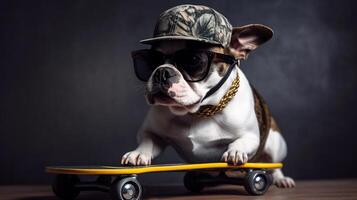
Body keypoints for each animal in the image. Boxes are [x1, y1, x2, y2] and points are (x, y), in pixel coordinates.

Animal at [121, 4, 294, 188]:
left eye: (193, 60)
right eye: (151, 61)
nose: (162, 71)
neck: (198, 111)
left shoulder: (252, 137)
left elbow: (241, 141)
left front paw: (235, 151)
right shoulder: (151, 131)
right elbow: (148, 140)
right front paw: (138, 153)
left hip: (276, 143)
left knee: (274, 164)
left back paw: (281, 179)